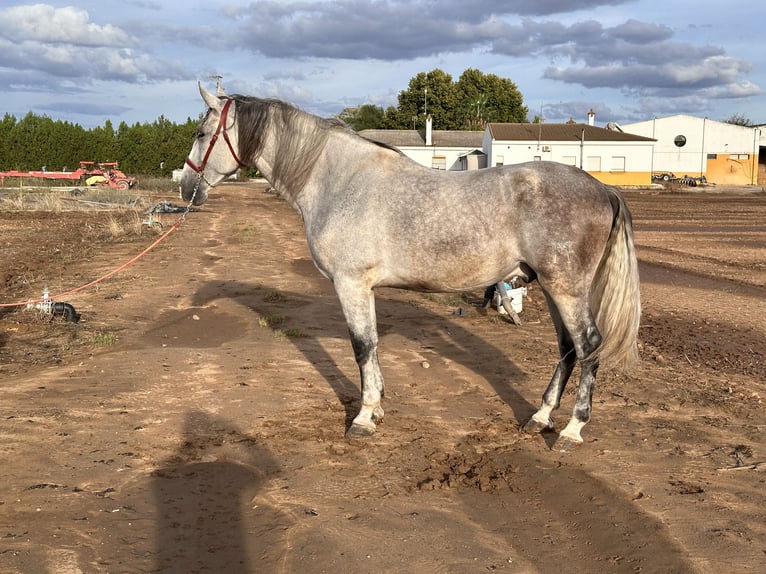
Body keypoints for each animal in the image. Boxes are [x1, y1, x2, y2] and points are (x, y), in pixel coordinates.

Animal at [180, 84, 641, 451]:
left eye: (201, 134)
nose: (185, 187)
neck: (338, 181)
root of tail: (602, 188)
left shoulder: (350, 284)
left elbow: (361, 347)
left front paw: (363, 419)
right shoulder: (363, 288)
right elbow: (371, 346)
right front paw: (377, 408)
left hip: (565, 288)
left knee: (588, 345)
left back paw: (572, 430)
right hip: (550, 286)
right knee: (567, 348)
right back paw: (540, 417)